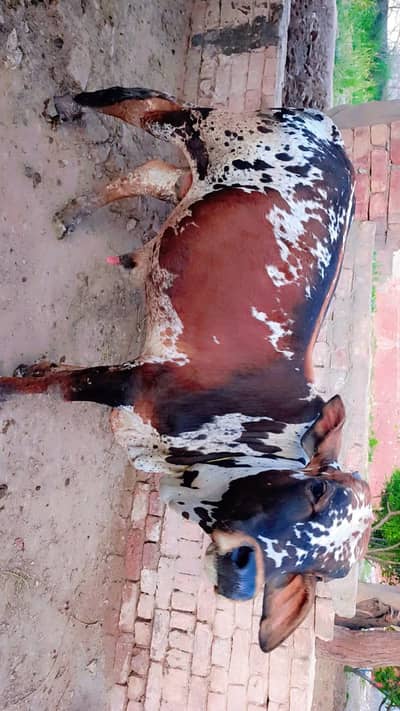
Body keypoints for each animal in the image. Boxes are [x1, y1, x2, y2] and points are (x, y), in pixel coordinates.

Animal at [0, 87, 372, 652]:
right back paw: (67, 105)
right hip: (199, 127)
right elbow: (51, 385)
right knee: (141, 104)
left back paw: (77, 210)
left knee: (152, 173)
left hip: (193, 186)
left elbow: (52, 376)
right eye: (317, 492)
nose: (242, 570)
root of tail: (330, 133)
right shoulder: (130, 380)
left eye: (322, 570)